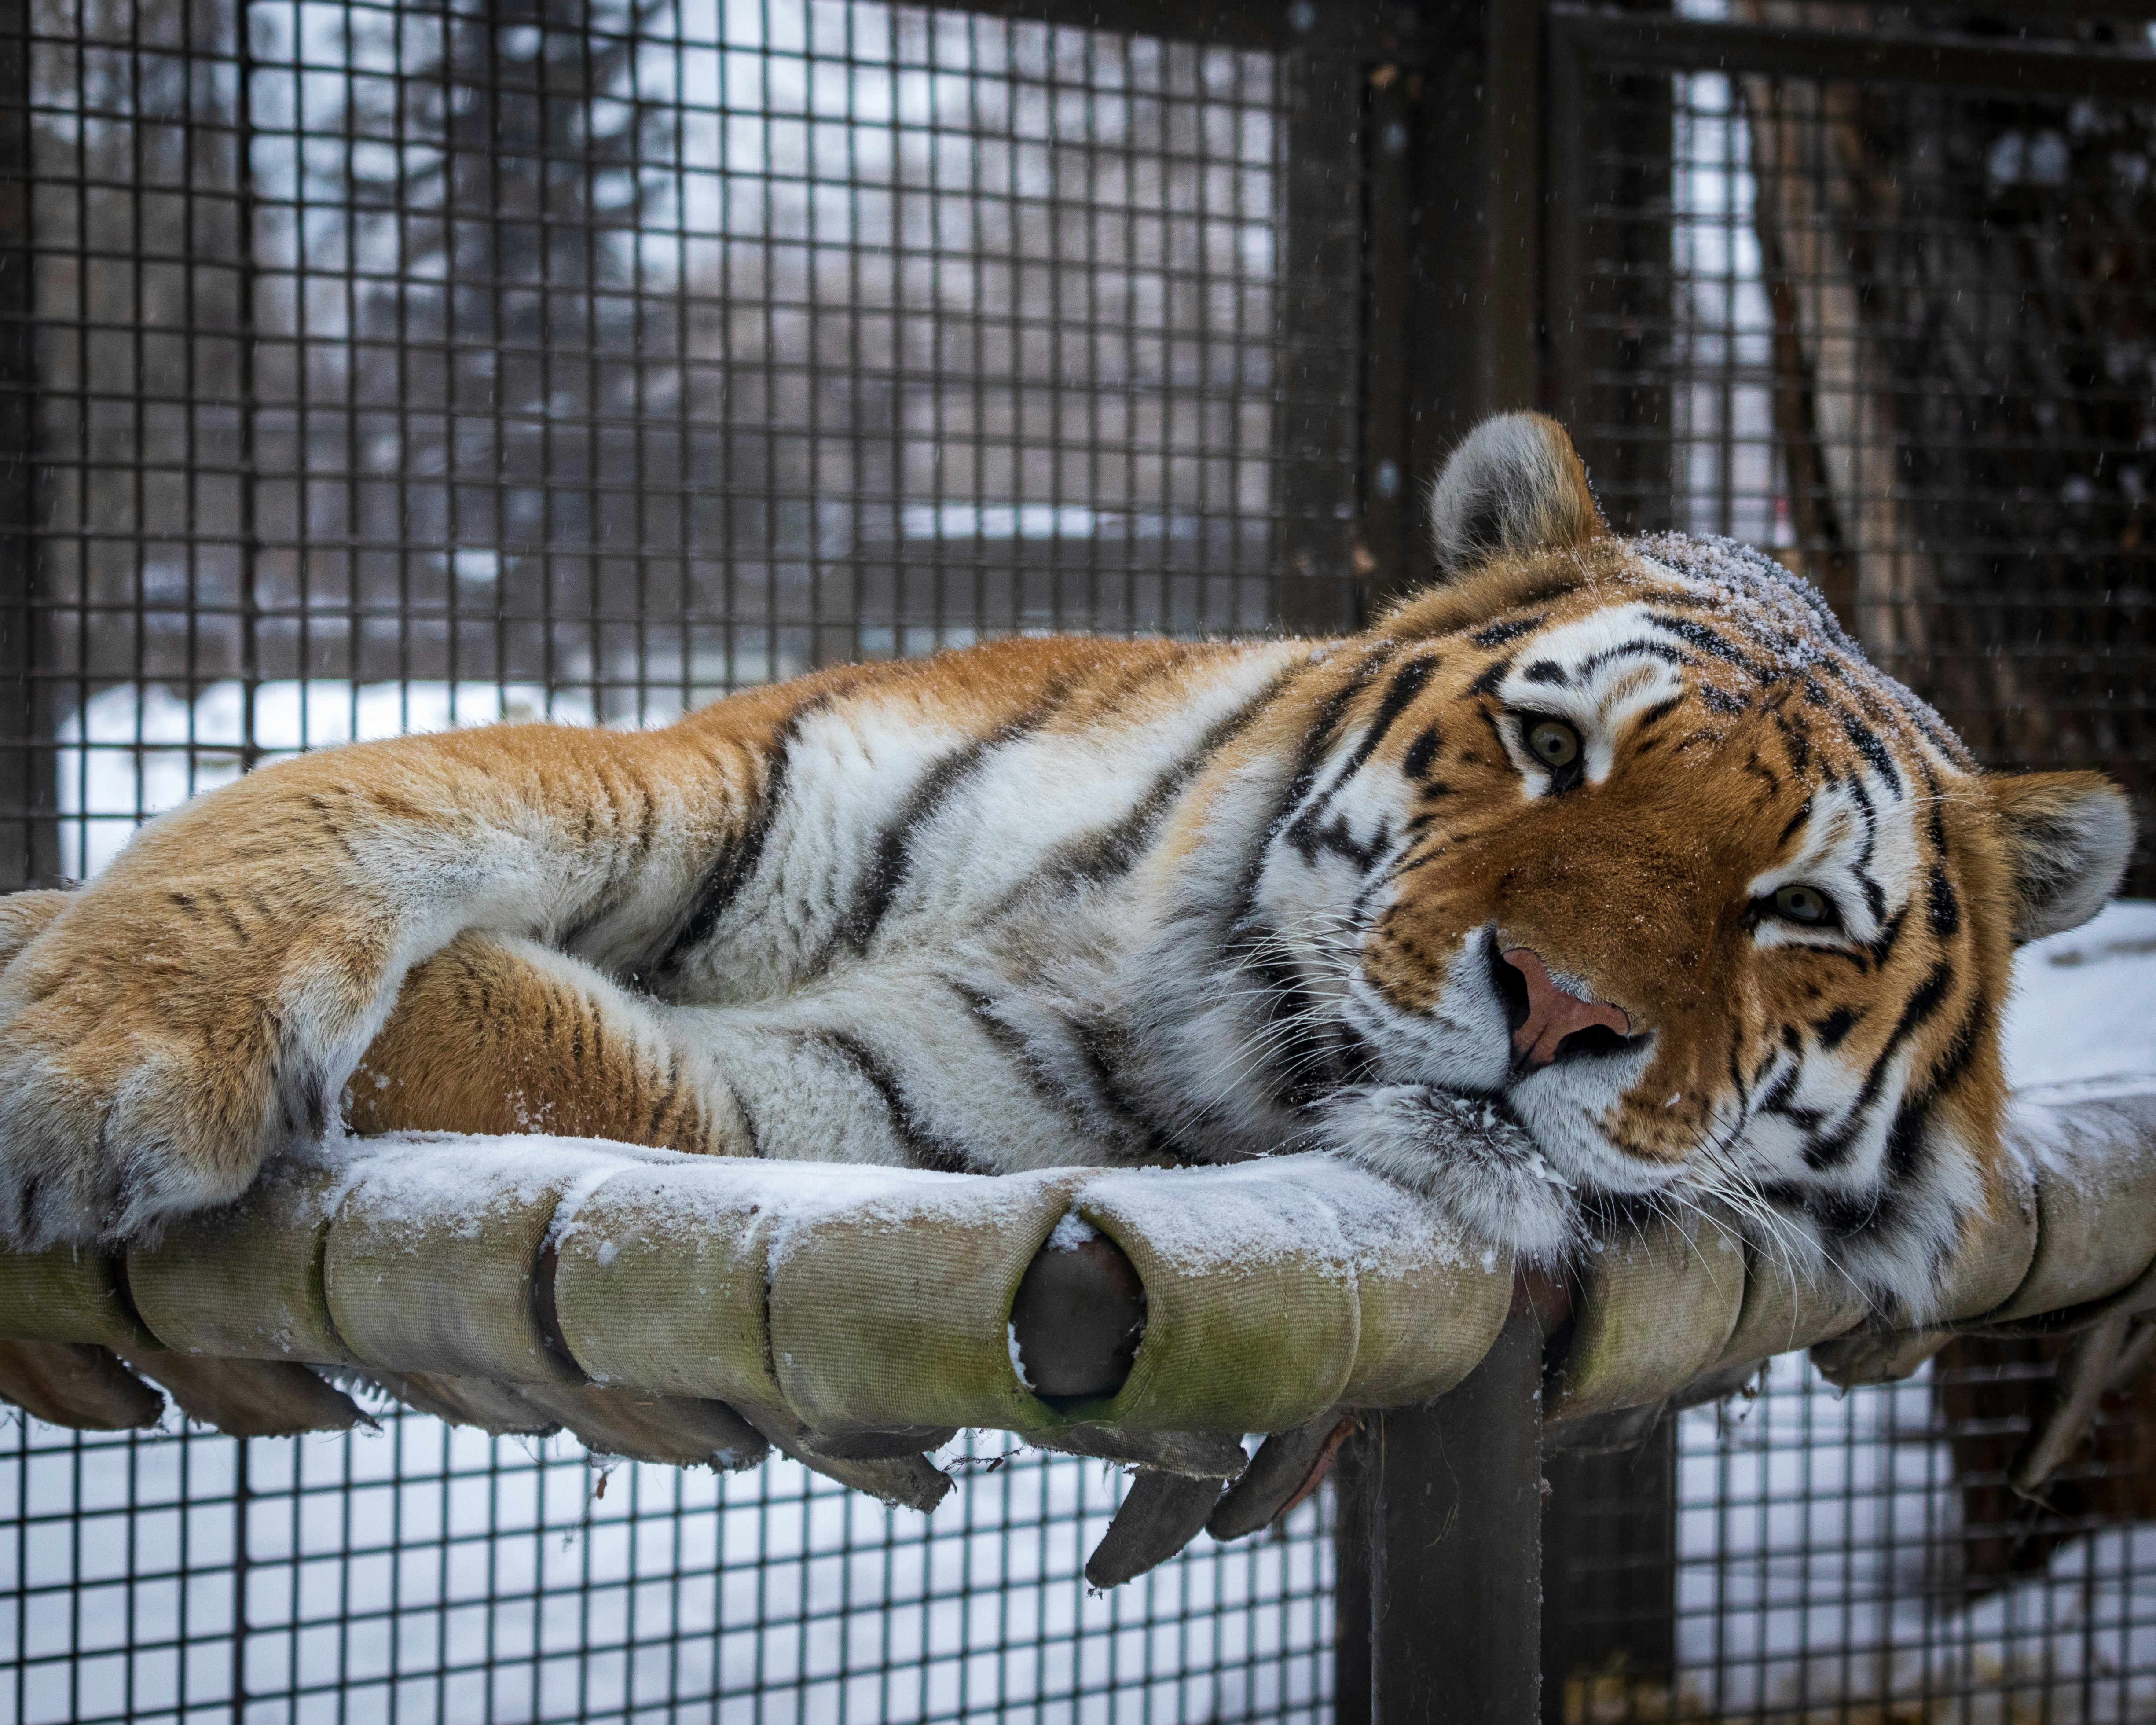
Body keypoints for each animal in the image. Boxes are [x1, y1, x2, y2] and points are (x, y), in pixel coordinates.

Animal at [0, 413, 2130, 1323]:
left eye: (1792, 913)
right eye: (1550, 750)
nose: (1559, 1009)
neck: (1116, 942)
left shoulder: (853, 1114)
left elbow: (514, 1041)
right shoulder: (712, 770)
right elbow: (360, 799)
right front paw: (94, 1050)